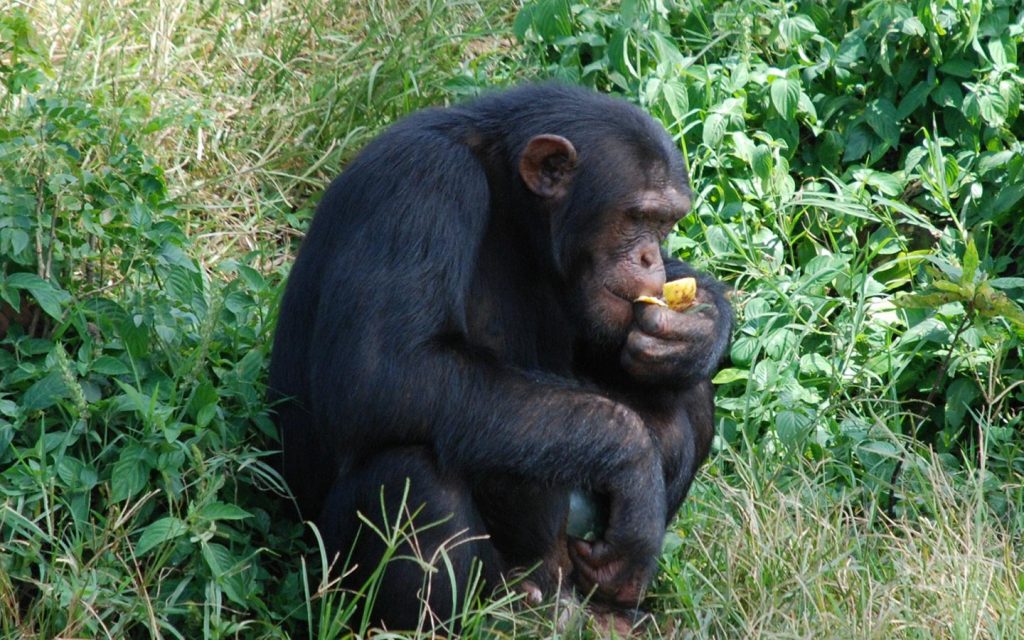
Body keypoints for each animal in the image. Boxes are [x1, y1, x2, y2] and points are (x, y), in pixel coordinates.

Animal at [268, 83, 733, 630]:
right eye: (637, 217)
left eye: (665, 224)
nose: (650, 258)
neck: (513, 204)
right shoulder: (423, 180)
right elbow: (384, 370)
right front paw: (636, 470)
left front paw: (700, 329)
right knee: (415, 477)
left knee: (689, 396)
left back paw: (611, 612)